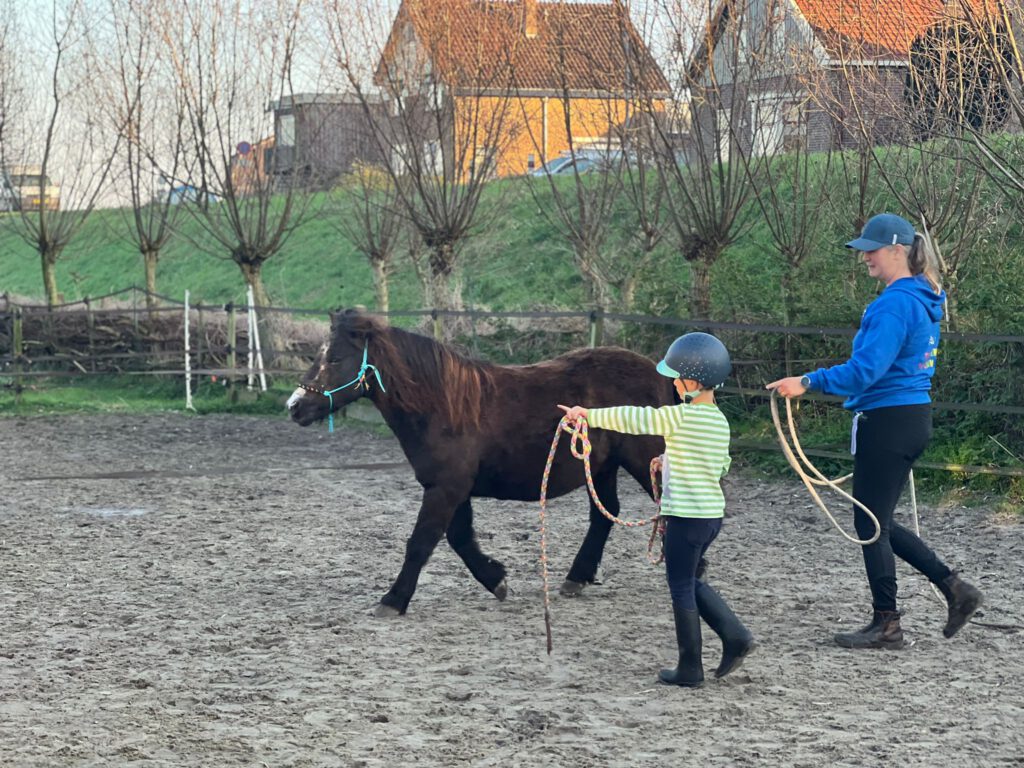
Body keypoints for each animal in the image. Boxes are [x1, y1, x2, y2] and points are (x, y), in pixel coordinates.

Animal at [287, 309, 675, 617]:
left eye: (335, 359)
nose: (294, 407)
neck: (442, 405)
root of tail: (660, 374)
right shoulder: (451, 488)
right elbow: (459, 538)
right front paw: (496, 579)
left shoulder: (446, 488)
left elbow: (421, 542)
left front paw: (393, 599)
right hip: (602, 467)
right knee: (605, 514)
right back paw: (576, 578)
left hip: (644, 461)